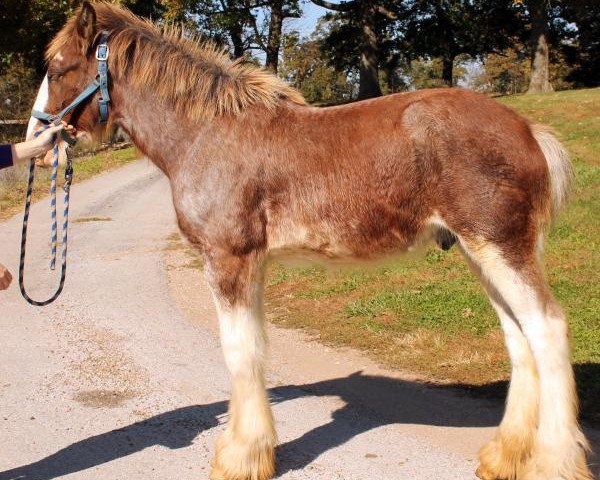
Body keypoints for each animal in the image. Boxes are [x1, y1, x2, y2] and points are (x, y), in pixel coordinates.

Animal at [31, 3, 592, 480]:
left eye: (57, 68)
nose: (39, 143)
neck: (207, 135)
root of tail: (528, 129)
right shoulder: (251, 265)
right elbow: (254, 348)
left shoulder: (228, 261)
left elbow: (239, 352)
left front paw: (241, 457)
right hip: (483, 254)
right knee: (519, 338)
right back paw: (504, 457)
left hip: (501, 249)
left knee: (547, 329)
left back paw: (554, 462)